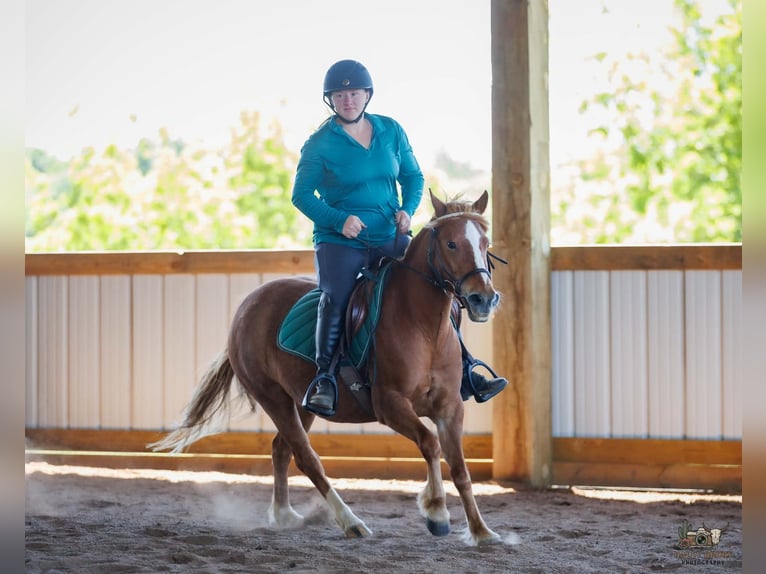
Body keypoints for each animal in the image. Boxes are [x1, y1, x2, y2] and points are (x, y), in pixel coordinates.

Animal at [151, 190, 504, 546]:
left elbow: (460, 468)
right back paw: (350, 522)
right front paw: (436, 512)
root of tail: (248, 306)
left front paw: (482, 531)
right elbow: (430, 444)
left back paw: (285, 516)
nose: (483, 299)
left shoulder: (450, 407)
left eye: (485, 242)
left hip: (301, 403)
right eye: (451, 244)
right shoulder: (390, 405)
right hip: (272, 397)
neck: (424, 328)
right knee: (307, 458)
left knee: (282, 449)